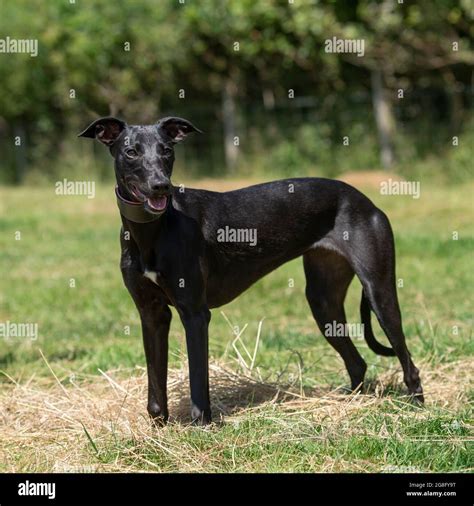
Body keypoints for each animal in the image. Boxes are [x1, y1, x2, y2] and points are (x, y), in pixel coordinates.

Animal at [79, 116, 424, 424]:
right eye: (131, 151)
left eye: (166, 150)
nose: (161, 187)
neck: (154, 229)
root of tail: (365, 199)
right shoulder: (152, 314)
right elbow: (155, 385)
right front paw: (158, 428)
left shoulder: (195, 313)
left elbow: (198, 380)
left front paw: (202, 425)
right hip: (323, 302)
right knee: (357, 364)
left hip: (379, 293)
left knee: (408, 363)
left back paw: (416, 410)